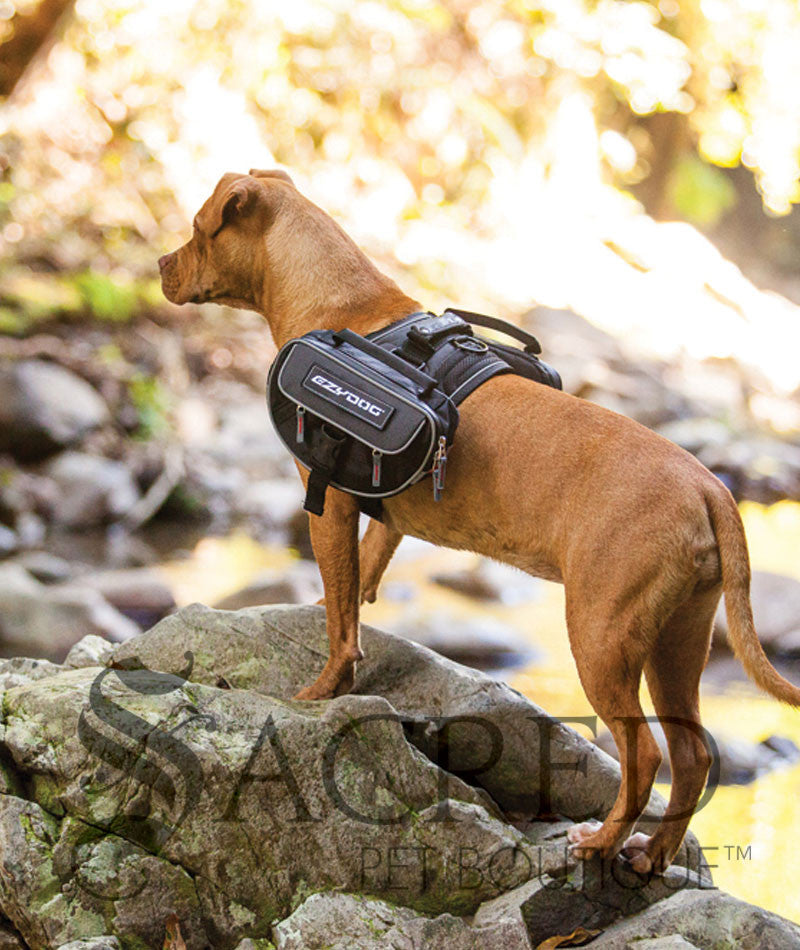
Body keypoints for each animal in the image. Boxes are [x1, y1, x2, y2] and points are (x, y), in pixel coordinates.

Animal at [158, 169, 800, 876]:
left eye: (197, 229)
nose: (160, 265)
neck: (344, 303)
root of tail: (710, 487)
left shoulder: (329, 503)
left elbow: (340, 621)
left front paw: (321, 691)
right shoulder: (382, 518)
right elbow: (357, 590)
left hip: (601, 636)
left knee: (646, 754)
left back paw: (600, 842)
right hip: (676, 641)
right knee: (692, 755)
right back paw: (651, 855)